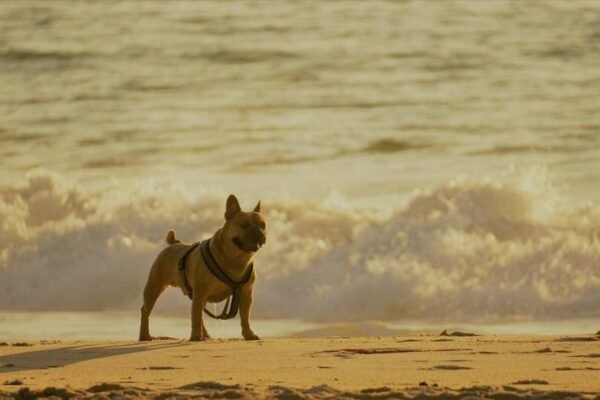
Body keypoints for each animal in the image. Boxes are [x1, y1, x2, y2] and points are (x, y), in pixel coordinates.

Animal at [139, 194, 266, 340]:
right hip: (155, 287)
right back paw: (144, 335)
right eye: (244, 225)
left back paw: (205, 335)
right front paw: (195, 336)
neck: (236, 259)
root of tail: (173, 243)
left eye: (263, 225)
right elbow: (195, 316)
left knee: (200, 315)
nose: (259, 231)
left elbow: (245, 317)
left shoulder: (245, 293)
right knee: (146, 310)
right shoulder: (200, 291)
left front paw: (249, 334)